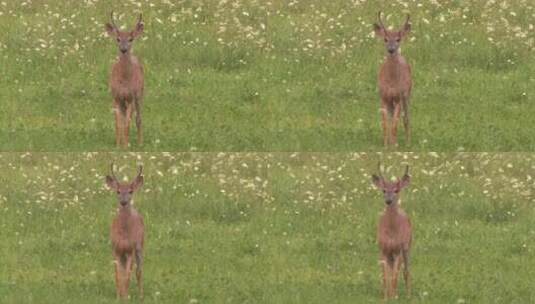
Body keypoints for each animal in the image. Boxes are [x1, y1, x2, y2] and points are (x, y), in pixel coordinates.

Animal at [105, 12, 144, 148]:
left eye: (130, 39)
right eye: (118, 39)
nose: (123, 49)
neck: (124, 81)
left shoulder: (131, 97)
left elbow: (127, 123)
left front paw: (126, 146)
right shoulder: (116, 97)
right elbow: (118, 124)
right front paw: (118, 145)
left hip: (139, 95)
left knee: (138, 118)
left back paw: (139, 143)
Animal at [105, 164, 144, 300]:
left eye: (130, 191)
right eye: (118, 191)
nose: (123, 202)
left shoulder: (130, 250)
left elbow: (127, 275)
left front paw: (126, 297)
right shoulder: (115, 249)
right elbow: (118, 275)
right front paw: (118, 296)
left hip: (140, 247)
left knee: (139, 271)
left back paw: (140, 295)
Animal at [372, 163, 414, 300]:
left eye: (396, 190)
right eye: (383, 190)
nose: (388, 201)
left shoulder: (398, 250)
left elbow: (395, 276)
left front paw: (394, 297)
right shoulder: (383, 249)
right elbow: (386, 277)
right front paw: (385, 298)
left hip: (407, 246)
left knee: (406, 271)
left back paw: (408, 295)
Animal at [374, 12, 412, 148]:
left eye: (398, 39)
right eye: (385, 39)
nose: (391, 49)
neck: (391, 81)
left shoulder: (399, 96)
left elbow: (395, 124)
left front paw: (395, 145)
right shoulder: (383, 96)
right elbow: (386, 124)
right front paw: (386, 145)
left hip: (407, 95)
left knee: (406, 118)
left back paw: (407, 142)